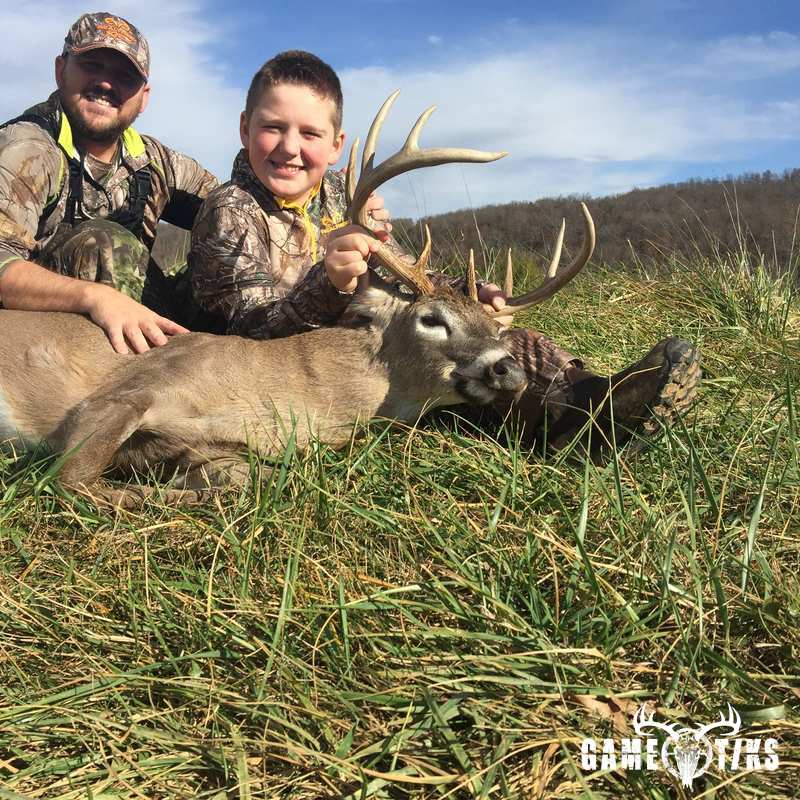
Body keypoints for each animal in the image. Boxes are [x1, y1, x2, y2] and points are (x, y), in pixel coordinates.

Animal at [0, 91, 595, 507]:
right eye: (432, 318)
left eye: (497, 330)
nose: (507, 368)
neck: (289, 394)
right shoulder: (121, 396)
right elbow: (69, 480)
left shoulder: (212, 445)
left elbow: (245, 477)